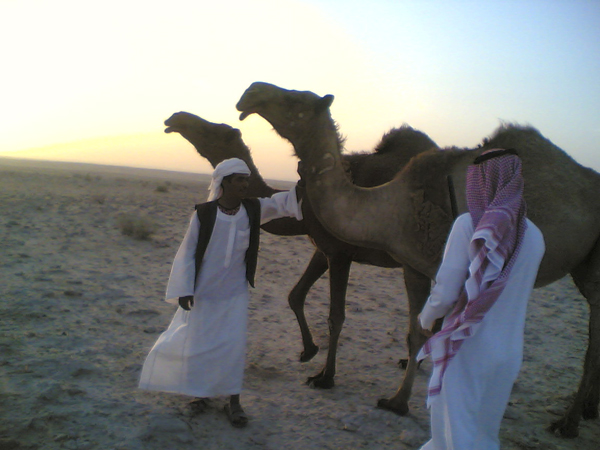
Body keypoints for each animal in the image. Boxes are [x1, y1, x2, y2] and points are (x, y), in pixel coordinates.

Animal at [164, 111, 437, 389]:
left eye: (214, 132)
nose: (175, 118)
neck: (307, 207)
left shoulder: (340, 253)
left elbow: (335, 316)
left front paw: (325, 377)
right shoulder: (323, 250)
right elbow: (295, 295)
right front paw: (308, 351)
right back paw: (412, 361)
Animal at [236, 81, 600, 438]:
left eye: (296, 100)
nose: (250, 93)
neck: (395, 206)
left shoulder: (433, 265)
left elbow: (417, 331)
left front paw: (387, 397)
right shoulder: (415, 268)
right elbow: (420, 331)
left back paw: (567, 422)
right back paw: (586, 409)